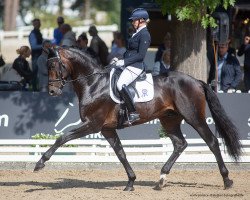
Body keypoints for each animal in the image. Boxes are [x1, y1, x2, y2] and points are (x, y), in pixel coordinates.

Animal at [33, 46, 242, 191]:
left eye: (54, 65)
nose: (52, 92)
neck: (93, 84)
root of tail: (197, 81)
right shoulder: (107, 129)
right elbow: (121, 153)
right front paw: (131, 182)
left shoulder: (92, 125)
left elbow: (62, 138)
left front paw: (40, 163)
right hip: (169, 119)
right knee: (180, 144)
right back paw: (161, 179)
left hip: (193, 117)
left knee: (212, 142)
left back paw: (227, 180)